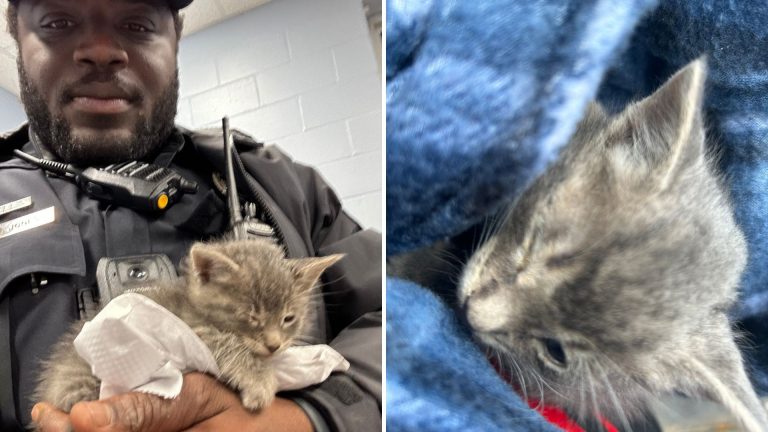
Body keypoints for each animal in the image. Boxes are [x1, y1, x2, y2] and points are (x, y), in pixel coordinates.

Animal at [35, 240, 342, 412]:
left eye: (288, 318)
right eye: (251, 316)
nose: (274, 345)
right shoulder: (190, 330)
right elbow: (229, 345)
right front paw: (260, 384)